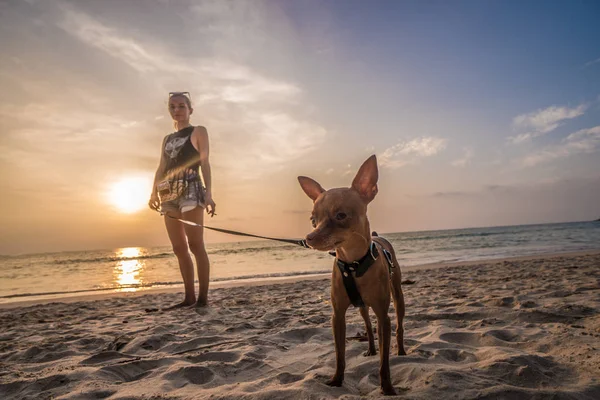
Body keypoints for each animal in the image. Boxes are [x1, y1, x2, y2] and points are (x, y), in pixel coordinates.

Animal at [298, 155, 406, 396]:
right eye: (312, 220)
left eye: (341, 216)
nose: (309, 237)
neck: (353, 263)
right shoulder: (337, 316)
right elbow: (340, 354)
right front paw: (336, 380)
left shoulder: (383, 316)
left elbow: (384, 361)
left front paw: (387, 387)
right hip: (362, 307)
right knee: (367, 325)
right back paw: (371, 349)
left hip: (398, 296)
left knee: (399, 325)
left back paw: (402, 351)